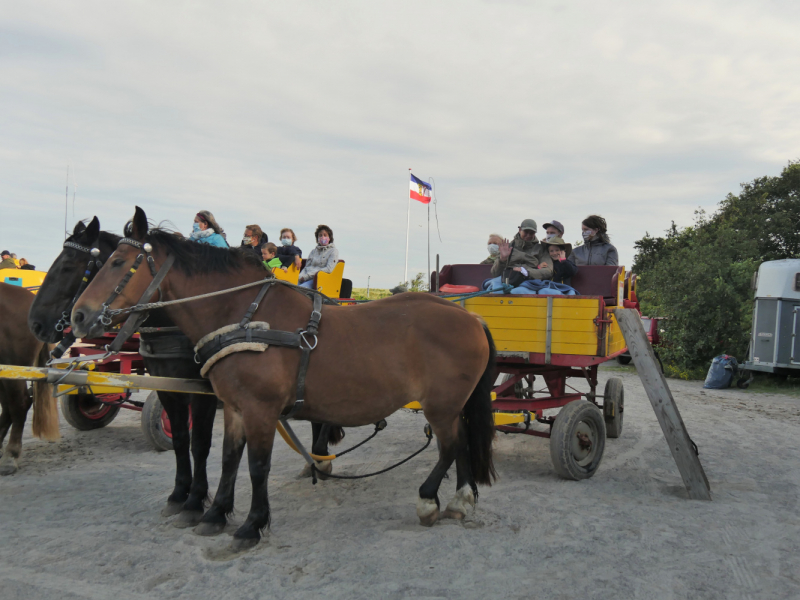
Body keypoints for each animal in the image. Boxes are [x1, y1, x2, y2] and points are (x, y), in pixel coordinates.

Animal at [28, 219, 340, 524]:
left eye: (70, 266)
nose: (36, 324)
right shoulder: (167, 385)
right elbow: (180, 439)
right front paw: (179, 494)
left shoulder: (201, 390)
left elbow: (199, 442)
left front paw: (195, 500)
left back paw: (320, 459)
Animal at [73, 209, 500, 552]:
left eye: (117, 262)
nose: (78, 316)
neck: (244, 316)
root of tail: (471, 317)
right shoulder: (234, 407)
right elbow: (229, 458)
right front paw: (215, 514)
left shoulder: (260, 410)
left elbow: (257, 465)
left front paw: (250, 525)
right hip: (453, 405)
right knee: (461, 443)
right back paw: (460, 499)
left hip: (441, 405)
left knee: (450, 446)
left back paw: (428, 500)